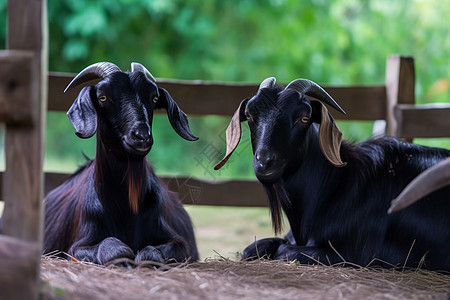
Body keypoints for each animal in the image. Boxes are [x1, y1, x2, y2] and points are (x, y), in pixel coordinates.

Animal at [44, 61, 199, 264]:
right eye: (103, 97)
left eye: (154, 98)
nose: (141, 136)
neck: (126, 208)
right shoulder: (76, 248)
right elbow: (112, 246)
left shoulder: (181, 245)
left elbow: (150, 252)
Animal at [215, 77, 450, 272]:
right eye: (249, 115)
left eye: (304, 118)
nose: (264, 162)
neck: (334, 185)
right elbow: (252, 248)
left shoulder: (353, 253)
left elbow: (283, 252)